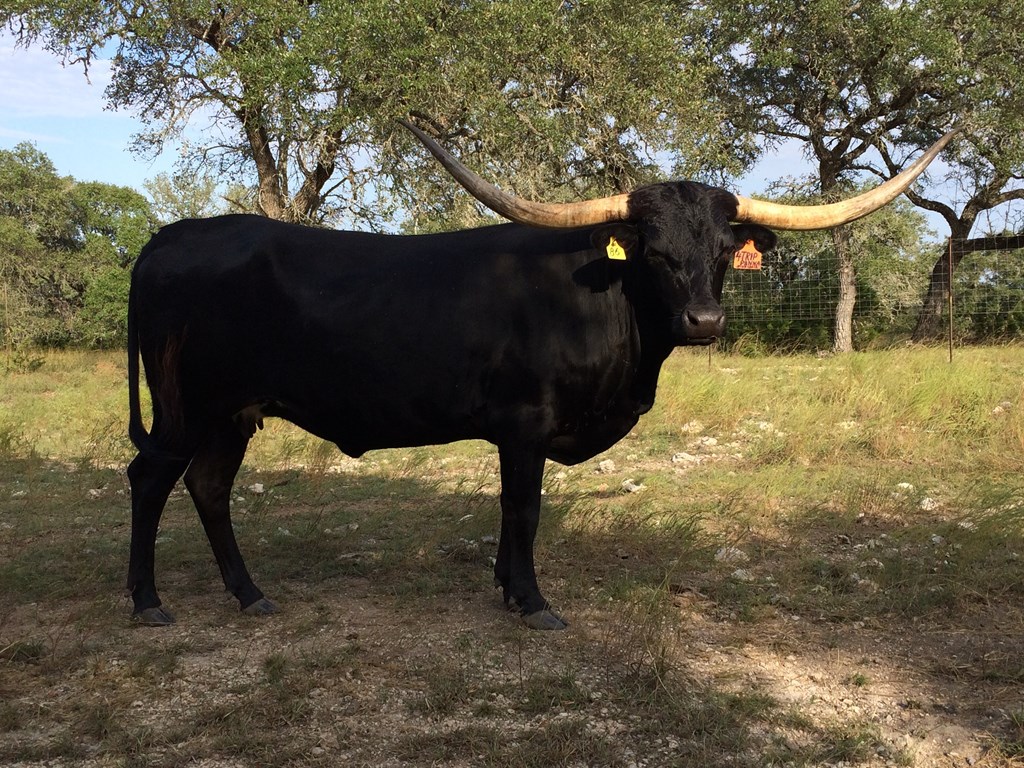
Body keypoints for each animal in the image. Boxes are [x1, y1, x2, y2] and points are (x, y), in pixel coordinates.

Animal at [126, 123, 954, 629]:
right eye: (654, 251)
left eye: (723, 251)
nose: (704, 322)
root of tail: (171, 236)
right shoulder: (524, 423)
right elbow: (523, 509)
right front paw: (531, 601)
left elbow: (507, 514)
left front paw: (504, 586)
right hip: (183, 409)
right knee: (150, 480)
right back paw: (147, 601)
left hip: (232, 413)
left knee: (209, 488)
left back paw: (250, 595)